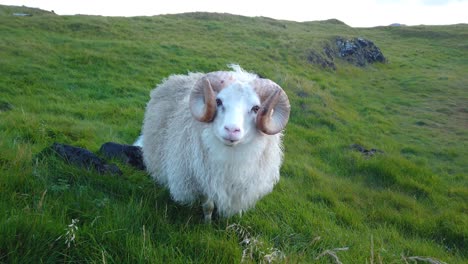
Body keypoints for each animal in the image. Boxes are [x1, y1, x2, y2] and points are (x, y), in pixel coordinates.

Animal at [141, 65, 290, 222]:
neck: (230, 157)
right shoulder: (204, 182)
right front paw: (207, 222)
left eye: (256, 108)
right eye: (218, 101)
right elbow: (208, 206)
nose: (231, 130)